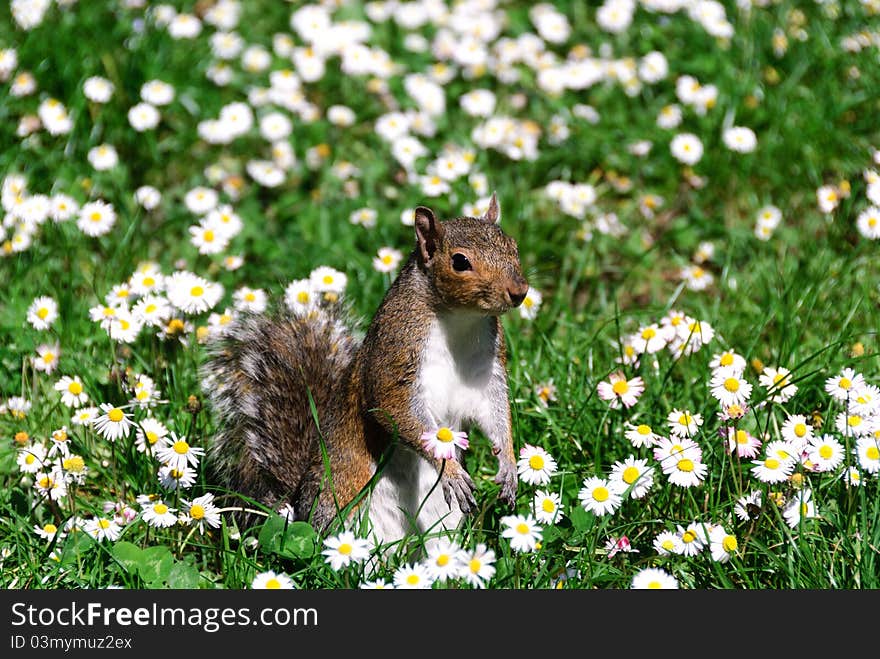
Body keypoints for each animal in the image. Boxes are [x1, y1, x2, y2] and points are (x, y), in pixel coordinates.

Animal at [201, 195, 528, 548]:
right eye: (460, 261)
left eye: (513, 246)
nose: (519, 291)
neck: (459, 321)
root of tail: (300, 507)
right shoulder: (393, 356)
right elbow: (393, 409)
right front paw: (450, 469)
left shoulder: (484, 373)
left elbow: (493, 413)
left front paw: (509, 467)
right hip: (347, 507)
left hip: (442, 517)